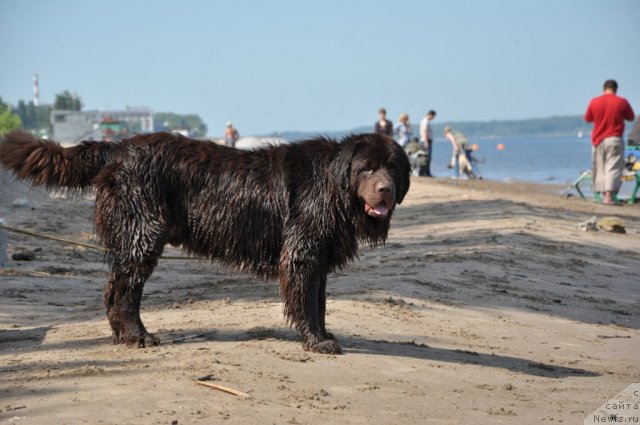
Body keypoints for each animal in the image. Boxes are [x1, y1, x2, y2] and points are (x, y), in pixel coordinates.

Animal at [1, 131, 410, 352]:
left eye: (393, 168)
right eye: (367, 169)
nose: (385, 189)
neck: (331, 185)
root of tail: (118, 147)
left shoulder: (318, 260)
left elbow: (320, 305)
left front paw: (324, 334)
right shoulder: (302, 256)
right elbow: (307, 305)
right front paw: (316, 342)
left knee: (113, 289)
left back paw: (122, 336)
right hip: (143, 236)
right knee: (124, 290)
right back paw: (138, 336)